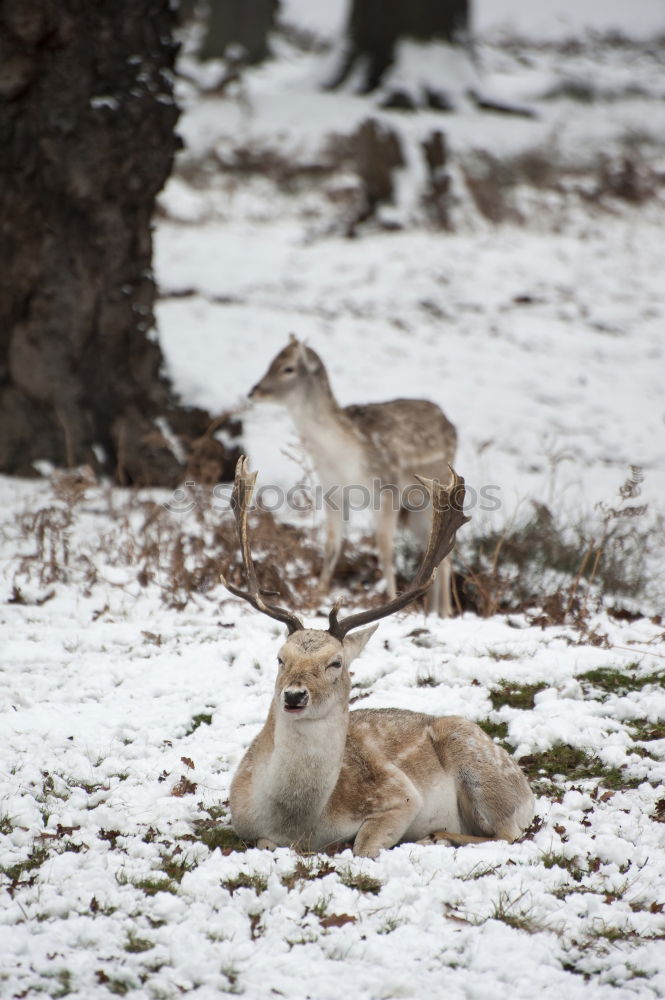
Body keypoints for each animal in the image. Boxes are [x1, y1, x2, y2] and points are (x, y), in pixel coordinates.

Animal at [223, 458, 536, 856]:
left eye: (336, 662)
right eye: (280, 658)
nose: (293, 696)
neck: (299, 823)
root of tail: (528, 791)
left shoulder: (400, 795)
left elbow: (364, 845)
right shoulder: (244, 824)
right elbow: (265, 843)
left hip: (481, 767)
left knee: (508, 833)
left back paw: (439, 836)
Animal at [246, 336, 460, 612]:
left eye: (287, 368)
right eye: (271, 361)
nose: (254, 391)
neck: (343, 458)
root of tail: (450, 425)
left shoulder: (387, 491)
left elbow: (385, 550)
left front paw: (391, 600)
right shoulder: (332, 493)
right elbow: (331, 546)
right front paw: (318, 596)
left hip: (437, 493)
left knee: (445, 552)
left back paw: (445, 611)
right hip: (415, 508)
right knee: (430, 549)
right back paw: (432, 610)